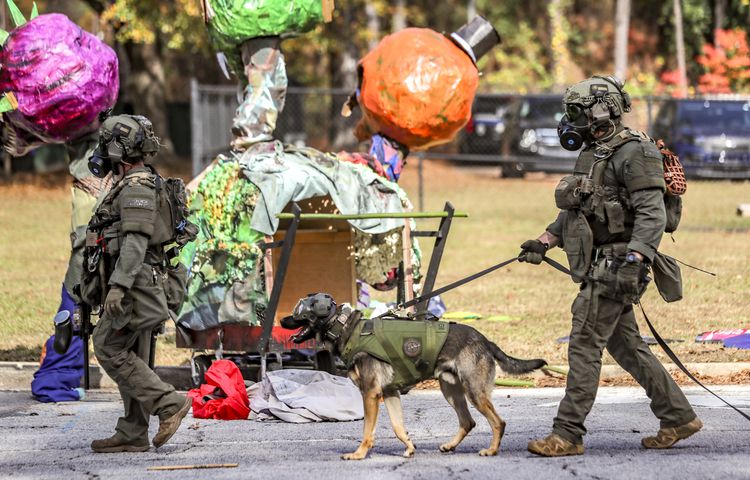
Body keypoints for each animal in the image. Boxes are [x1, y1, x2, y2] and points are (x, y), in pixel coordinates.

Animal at [284, 294, 548, 460]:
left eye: (299, 311)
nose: (280, 319)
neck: (345, 328)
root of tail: (485, 340)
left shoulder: (370, 394)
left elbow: (367, 431)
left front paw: (359, 454)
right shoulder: (389, 393)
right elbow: (398, 427)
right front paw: (410, 448)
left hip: (474, 392)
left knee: (498, 422)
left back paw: (491, 451)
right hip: (451, 391)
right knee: (468, 422)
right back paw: (450, 445)